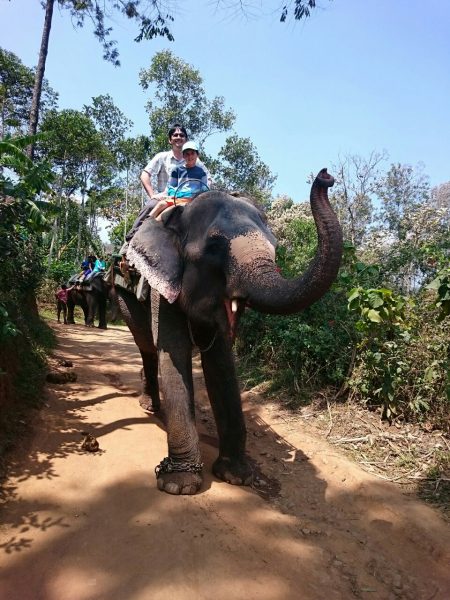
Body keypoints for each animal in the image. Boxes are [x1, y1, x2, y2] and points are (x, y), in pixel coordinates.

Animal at [111, 169, 342, 496]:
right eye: (214, 248)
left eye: (275, 246)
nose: (326, 176)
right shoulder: (164, 284)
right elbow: (174, 351)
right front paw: (179, 485)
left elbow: (220, 362)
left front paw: (236, 476)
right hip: (122, 294)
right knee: (146, 345)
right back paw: (150, 406)